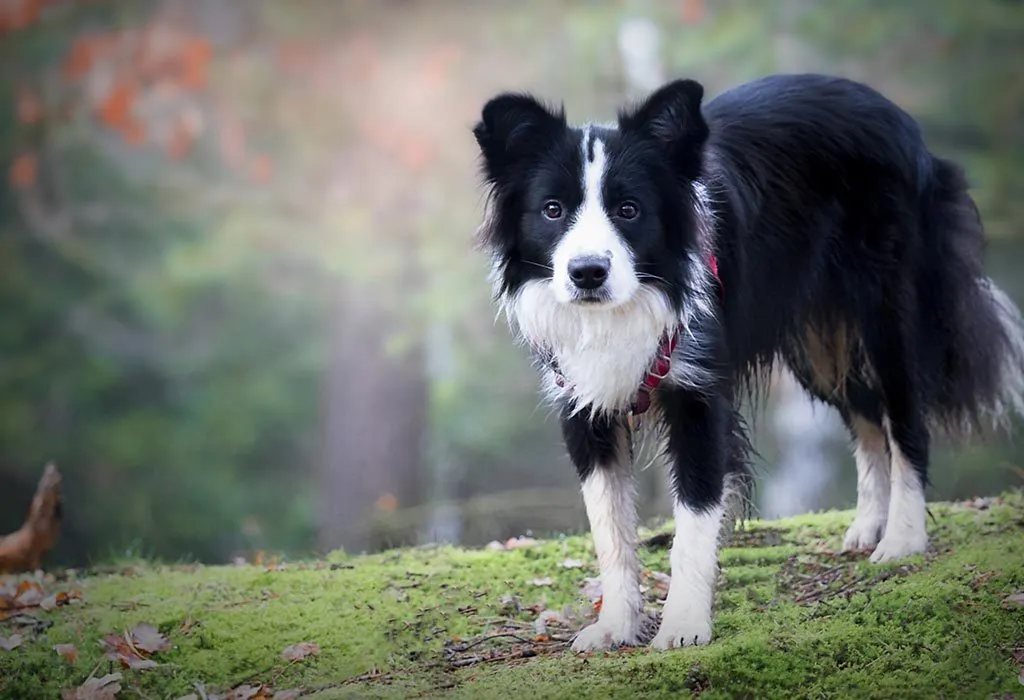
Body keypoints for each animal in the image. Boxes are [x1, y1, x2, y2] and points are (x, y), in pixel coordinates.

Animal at [468, 73, 1024, 654]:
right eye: (553, 210)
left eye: (629, 210)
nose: (587, 273)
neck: (629, 305)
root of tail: (901, 120)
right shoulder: (581, 402)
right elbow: (609, 526)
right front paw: (615, 626)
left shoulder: (698, 392)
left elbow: (694, 513)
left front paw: (683, 627)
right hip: (817, 341)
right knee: (868, 420)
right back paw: (867, 526)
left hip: (881, 309)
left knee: (904, 416)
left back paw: (901, 540)